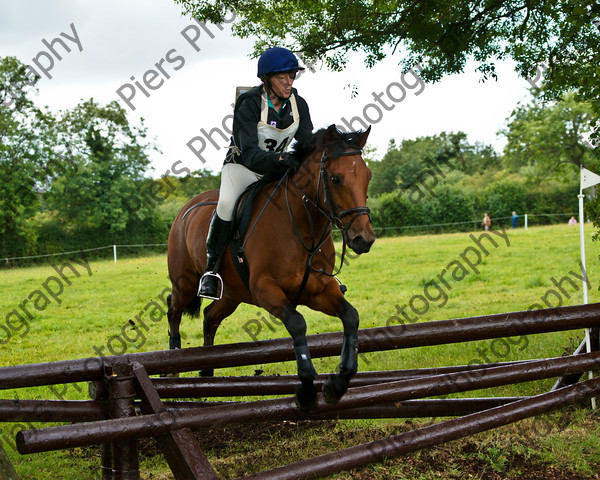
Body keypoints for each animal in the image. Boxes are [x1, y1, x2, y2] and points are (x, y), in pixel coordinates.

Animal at [165, 122, 376, 410]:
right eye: (335, 179)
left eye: (368, 176)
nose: (363, 239)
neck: (302, 227)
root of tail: (186, 209)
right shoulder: (266, 289)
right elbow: (297, 324)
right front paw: (306, 391)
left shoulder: (319, 290)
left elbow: (351, 317)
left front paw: (337, 384)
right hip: (185, 284)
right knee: (173, 310)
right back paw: (173, 370)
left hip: (232, 294)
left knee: (210, 316)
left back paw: (207, 373)